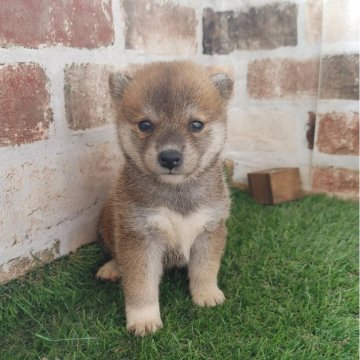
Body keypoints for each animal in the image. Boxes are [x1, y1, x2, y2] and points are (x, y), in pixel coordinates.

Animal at [95, 60, 233, 336]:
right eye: (145, 125)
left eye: (196, 125)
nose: (169, 157)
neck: (176, 192)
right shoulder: (139, 236)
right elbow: (140, 285)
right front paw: (143, 319)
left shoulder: (210, 229)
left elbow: (205, 268)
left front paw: (206, 294)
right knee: (115, 250)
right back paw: (113, 267)